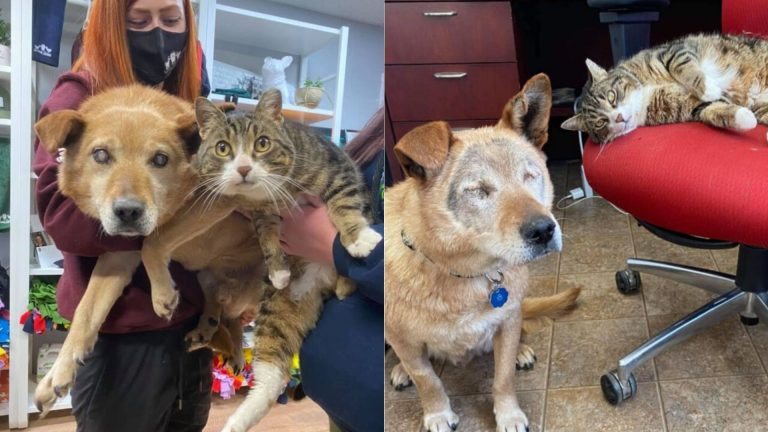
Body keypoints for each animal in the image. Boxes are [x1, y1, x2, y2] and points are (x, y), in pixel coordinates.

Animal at [194, 88, 380, 432]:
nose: (243, 169)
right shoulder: (261, 213)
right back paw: (235, 422)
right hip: (275, 312)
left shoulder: (340, 173)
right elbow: (267, 235)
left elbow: (344, 204)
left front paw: (359, 239)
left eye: (262, 143)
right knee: (271, 377)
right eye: (223, 148)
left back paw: (347, 280)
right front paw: (278, 268)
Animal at [388, 74, 580, 432]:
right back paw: (399, 369)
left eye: (529, 176)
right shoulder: (402, 339)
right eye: (478, 190)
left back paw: (520, 351)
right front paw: (437, 413)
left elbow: (502, 379)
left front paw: (508, 415)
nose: (544, 231)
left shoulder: (507, 321)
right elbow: (427, 379)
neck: (466, 274)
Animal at [560, 33, 768, 143]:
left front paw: (708, 87)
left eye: (611, 97)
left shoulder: (671, 51)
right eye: (600, 123)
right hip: (762, 106)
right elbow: (710, 109)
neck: (644, 90)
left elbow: (682, 65)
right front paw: (745, 117)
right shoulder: (678, 105)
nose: (618, 118)